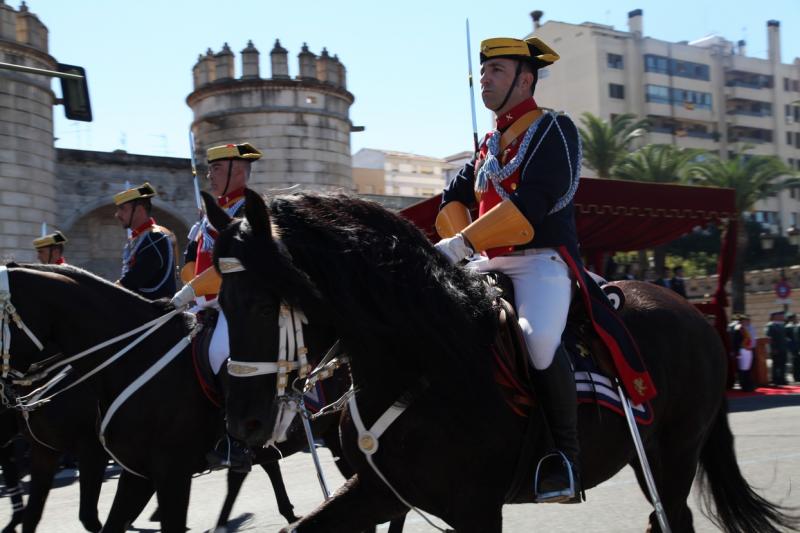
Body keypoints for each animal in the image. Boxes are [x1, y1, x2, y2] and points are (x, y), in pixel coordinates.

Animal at [208, 190, 800, 532]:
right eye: (219, 304)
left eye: (260, 302)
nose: (243, 423)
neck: (420, 361)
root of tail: (698, 316)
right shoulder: (380, 493)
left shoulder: (474, 509)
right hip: (647, 456)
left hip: (675, 454)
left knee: (672, 517)